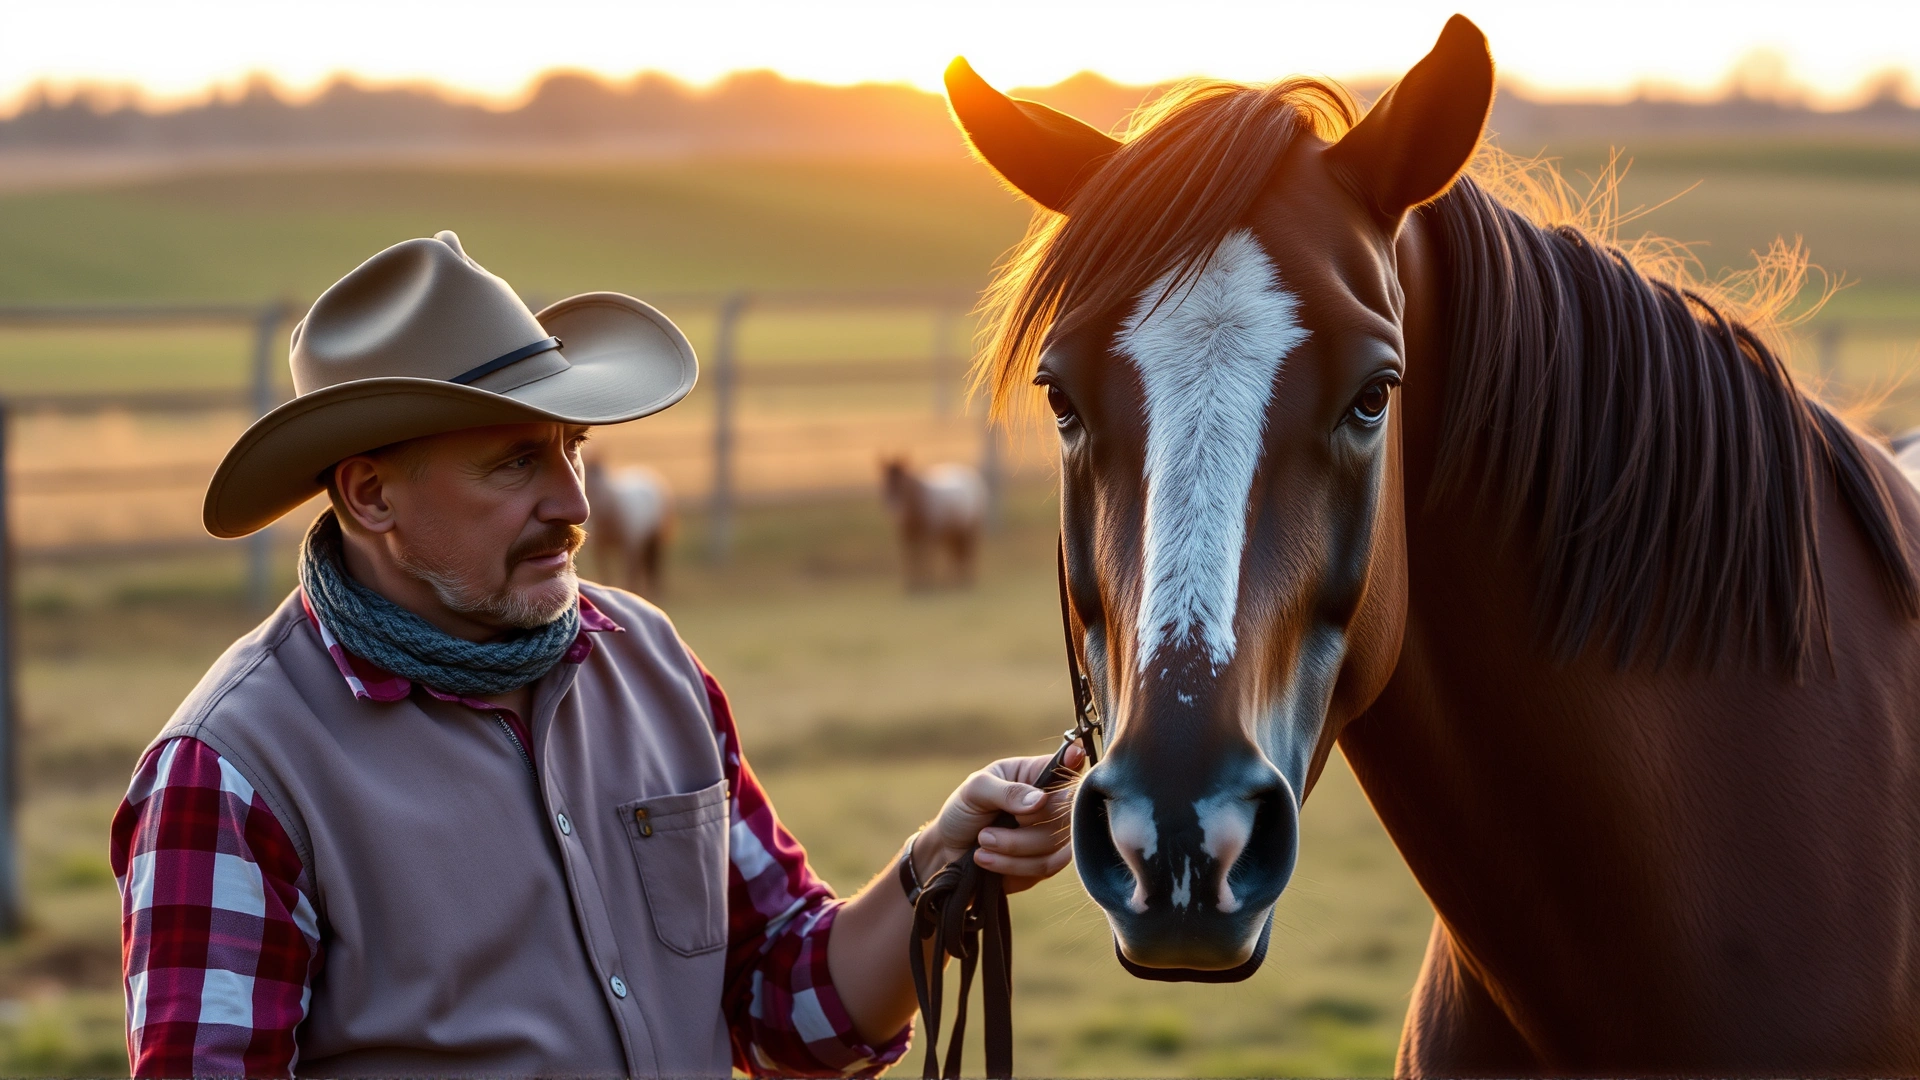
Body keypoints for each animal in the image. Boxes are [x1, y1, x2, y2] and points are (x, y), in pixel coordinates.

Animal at [582, 458, 672, 597]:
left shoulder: (629, 546)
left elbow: (629, 573)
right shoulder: (600, 549)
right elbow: (605, 575)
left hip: (652, 539)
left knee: (652, 565)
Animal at [880, 457, 986, 589]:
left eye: (902, 483)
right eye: (885, 482)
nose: (893, 505)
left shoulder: (930, 536)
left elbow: (926, 557)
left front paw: (926, 583)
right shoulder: (907, 538)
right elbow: (910, 557)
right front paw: (912, 585)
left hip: (970, 530)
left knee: (969, 554)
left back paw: (965, 581)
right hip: (953, 534)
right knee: (957, 554)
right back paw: (955, 581)